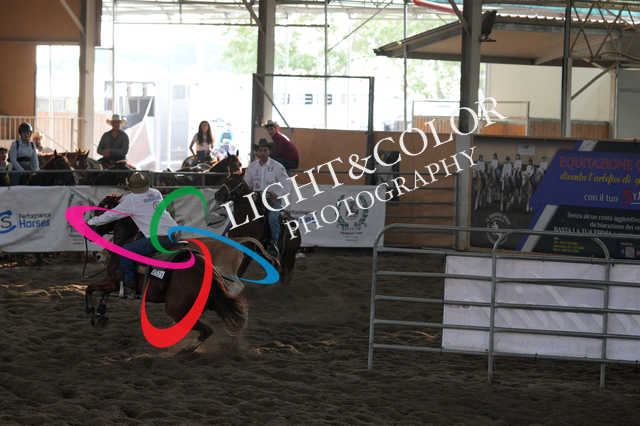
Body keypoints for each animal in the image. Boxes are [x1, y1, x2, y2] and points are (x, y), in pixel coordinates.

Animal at [85, 193, 248, 347]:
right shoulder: (112, 282)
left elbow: (90, 287)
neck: (124, 243)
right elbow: (101, 293)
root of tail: (207, 272)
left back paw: (185, 350)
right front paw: (100, 313)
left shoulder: (113, 281)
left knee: (206, 330)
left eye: (100, 208)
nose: (89, 229)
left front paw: (92, 312)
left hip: (176, 309)